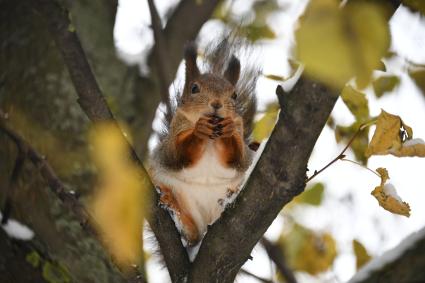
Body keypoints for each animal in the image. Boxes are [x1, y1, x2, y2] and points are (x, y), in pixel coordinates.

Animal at [147, 38, 256, 247]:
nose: (216, 103)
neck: (212, 139)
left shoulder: (243, 155)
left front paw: (228, 131)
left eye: (234, 95)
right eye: (194, 88)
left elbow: (238, 157)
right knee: (193, 234)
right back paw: (177, 215)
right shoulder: (171, 145)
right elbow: (178, 154)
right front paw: (199, 130)